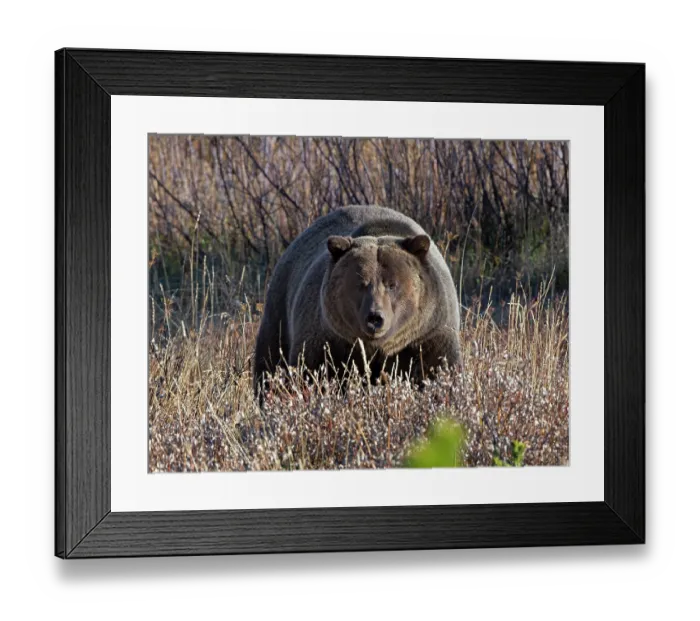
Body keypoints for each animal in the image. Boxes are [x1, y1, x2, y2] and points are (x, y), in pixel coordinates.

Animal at [253, 205, 461, 395]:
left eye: (392, 284)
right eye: (361, 284)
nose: (375, 317)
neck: (378, 347)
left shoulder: (427, 335)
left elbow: (438, 371)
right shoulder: (328, 338)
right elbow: (310, 373)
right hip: (279, 313)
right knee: (269, 362)